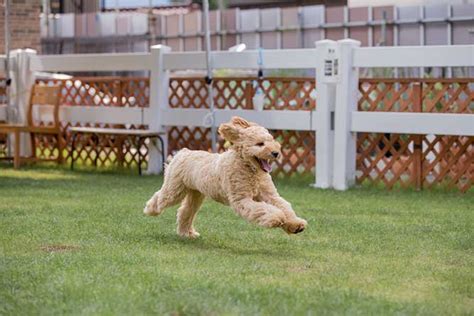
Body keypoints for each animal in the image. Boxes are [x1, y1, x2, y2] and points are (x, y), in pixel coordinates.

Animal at [143, 117, 308, 238]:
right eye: (260, 144)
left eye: (272, 140)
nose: (276, 153)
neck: (248, 167)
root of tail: (183, 152)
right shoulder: (242, 199)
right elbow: (263, 209)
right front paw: (277, 219)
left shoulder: (269, 195)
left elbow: (284, 206)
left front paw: (295, 224)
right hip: (174, 190)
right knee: (160, 198)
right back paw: (149, 210)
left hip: (196, 194)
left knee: (185, 211)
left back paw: (187, 233)